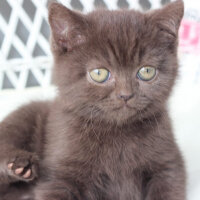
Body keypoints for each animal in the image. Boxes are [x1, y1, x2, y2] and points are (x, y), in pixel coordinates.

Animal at [0, 0, 186, 199]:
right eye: (99, 73)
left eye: (147, 71)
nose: (125, 95)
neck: (116, 132)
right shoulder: (58, 173)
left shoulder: (169, 164)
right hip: (24, 116)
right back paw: (19, 164)